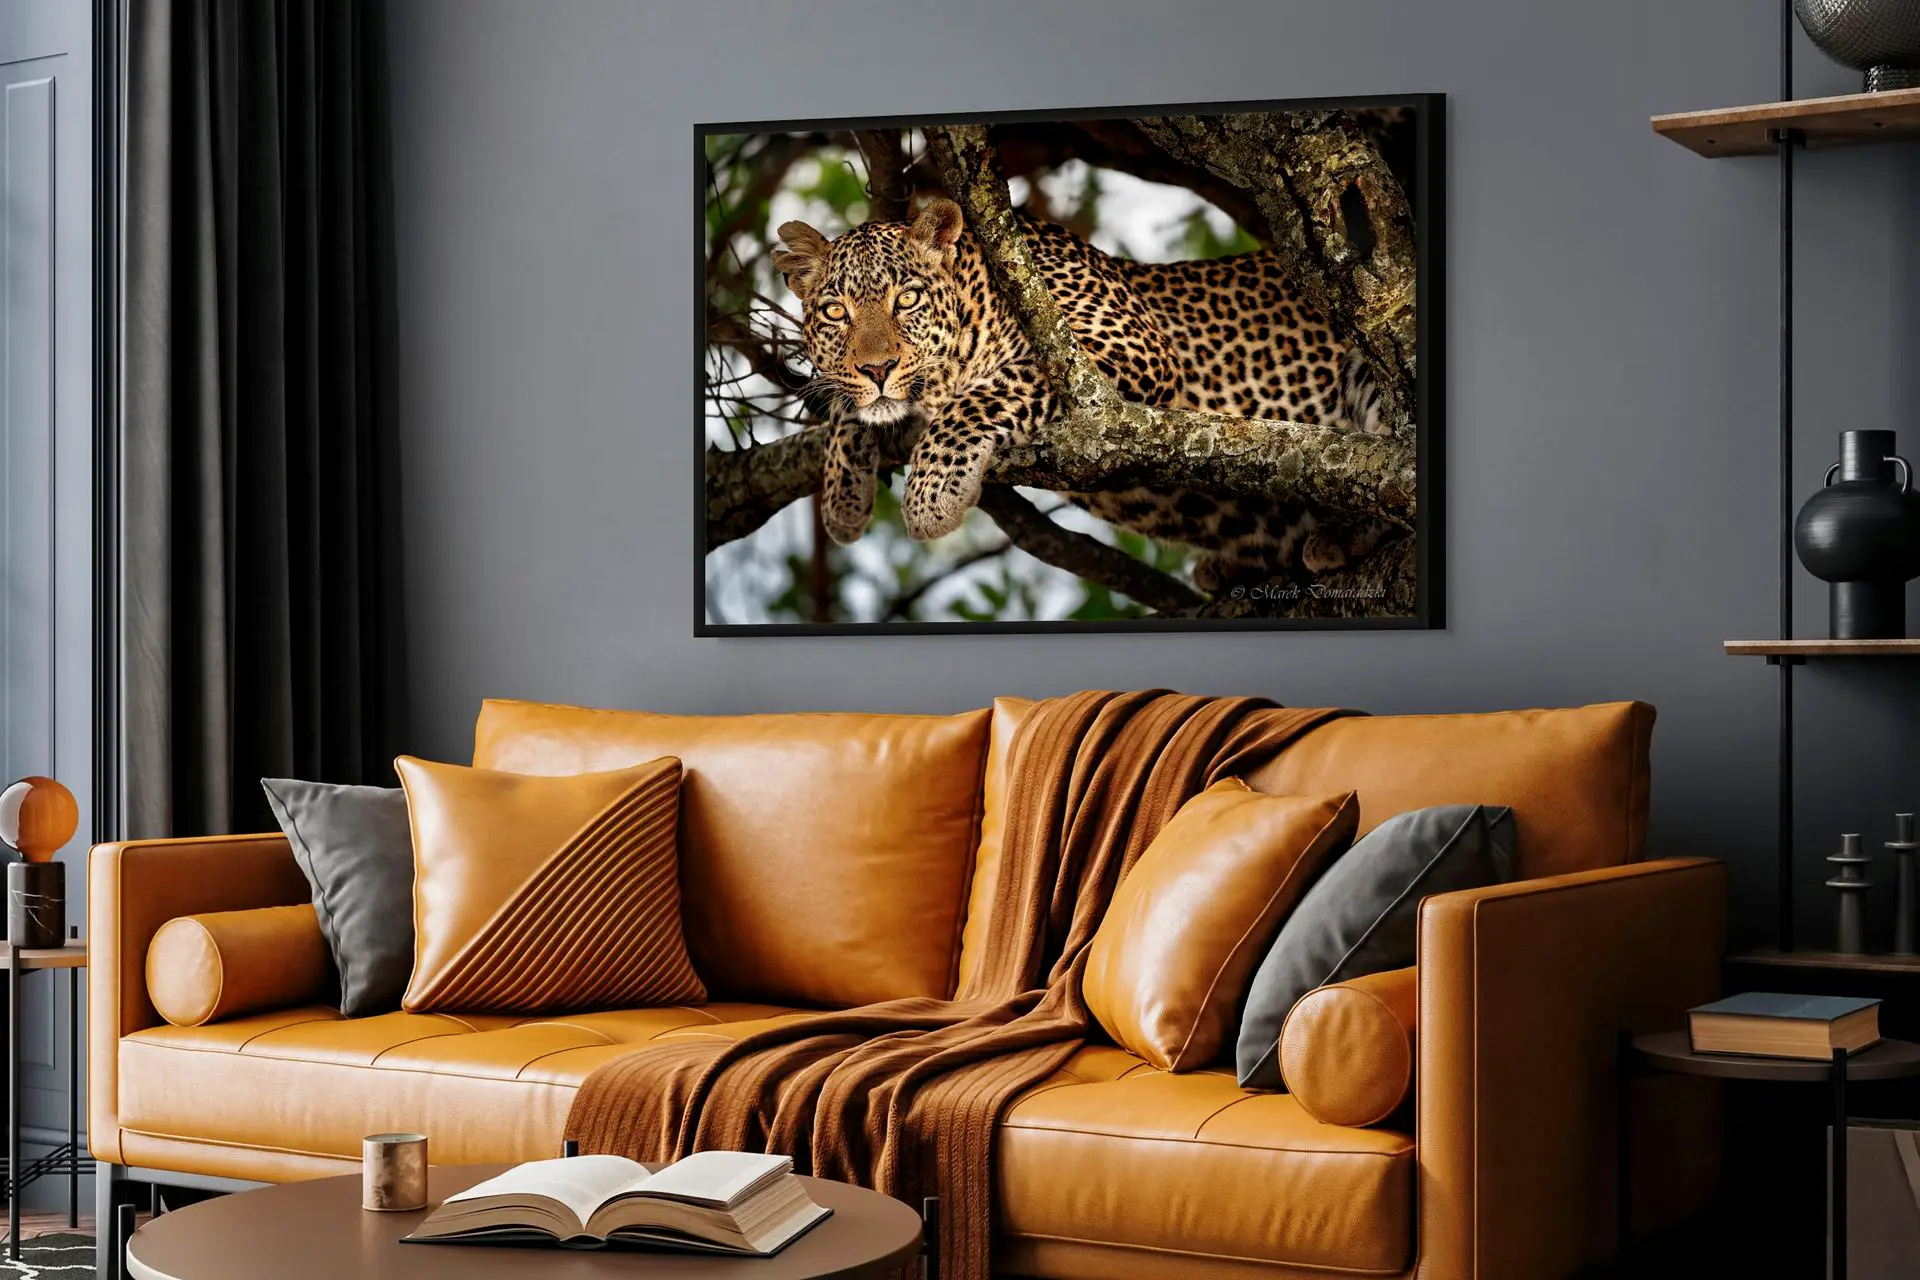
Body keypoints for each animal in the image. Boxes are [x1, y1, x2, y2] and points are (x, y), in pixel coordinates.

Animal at [771, 195, 1398, 594]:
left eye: (906, 300)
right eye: (835, 312)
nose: (877, 366)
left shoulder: (1121, 352)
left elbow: (978, 397)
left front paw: (929, 497)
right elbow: (847, 406)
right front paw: (843, 499)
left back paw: (1339, 536)